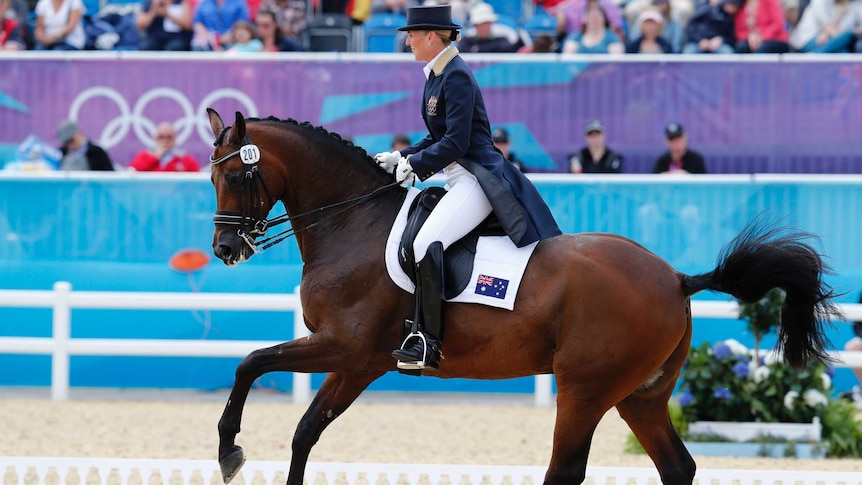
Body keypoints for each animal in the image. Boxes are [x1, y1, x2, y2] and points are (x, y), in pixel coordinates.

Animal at [206, 109, 840, 484]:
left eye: (235, 177)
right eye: (211, 177)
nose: (225, 248)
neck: (351, 224)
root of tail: (676, 278)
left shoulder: (346, 348)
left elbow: (250, 363)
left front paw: (230, 451)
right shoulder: (358, 363)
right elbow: (304, 431)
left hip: (585, 389)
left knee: (566, 470)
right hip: (641, 396)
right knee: (677, 467)